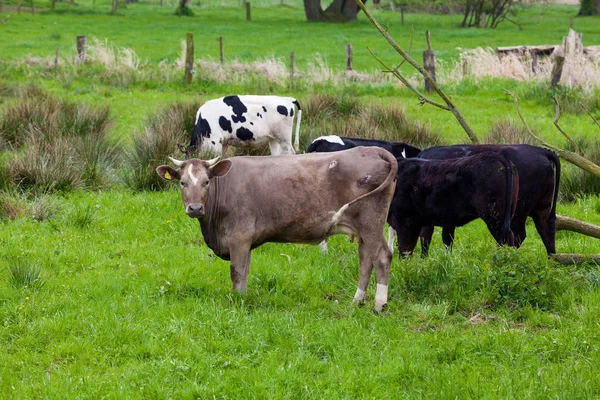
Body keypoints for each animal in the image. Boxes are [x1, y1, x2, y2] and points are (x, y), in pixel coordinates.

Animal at [386, 153, 516, 256]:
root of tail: (495, 156)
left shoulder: (407, 220)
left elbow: (406, 248)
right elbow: (434, 241)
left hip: (495, 218)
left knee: (504, 240)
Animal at [420, 145, 560, 255]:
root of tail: (541, 151)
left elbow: (425, 238)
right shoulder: (448, 218)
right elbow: (446, 240)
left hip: (512, 213)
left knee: (514, 236)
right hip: (541, 208)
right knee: (546, 232)